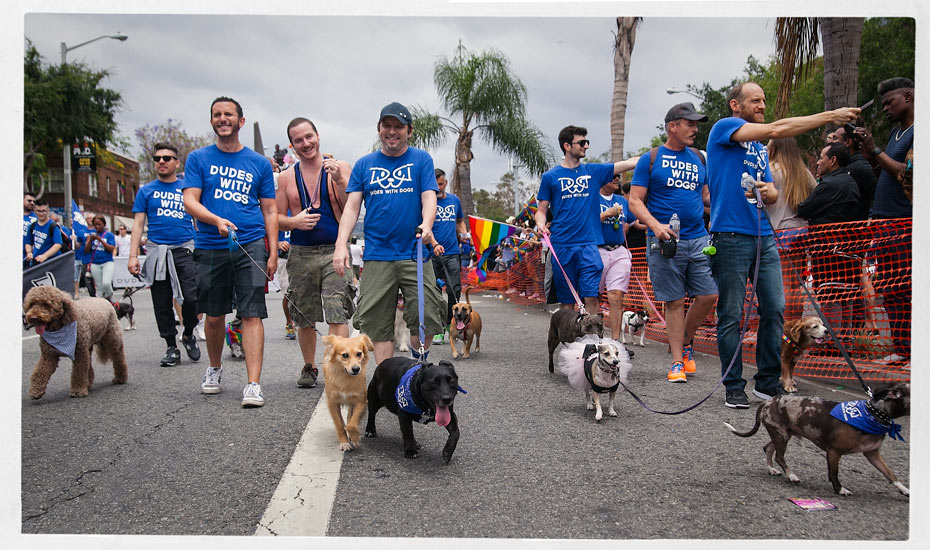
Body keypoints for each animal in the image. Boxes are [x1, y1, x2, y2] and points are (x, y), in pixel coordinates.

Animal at [720, 382, 908, 498]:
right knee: (779, 456)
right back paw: (791, 475)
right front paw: (840, 489)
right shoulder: (833, 452)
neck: (872, 413)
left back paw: (772, 469)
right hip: (781, 435)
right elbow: (834, 473)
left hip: (782, 434)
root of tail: (768, 402)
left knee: (768, 448)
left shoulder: (873, 454)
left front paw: (904, 490)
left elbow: (890, 473)